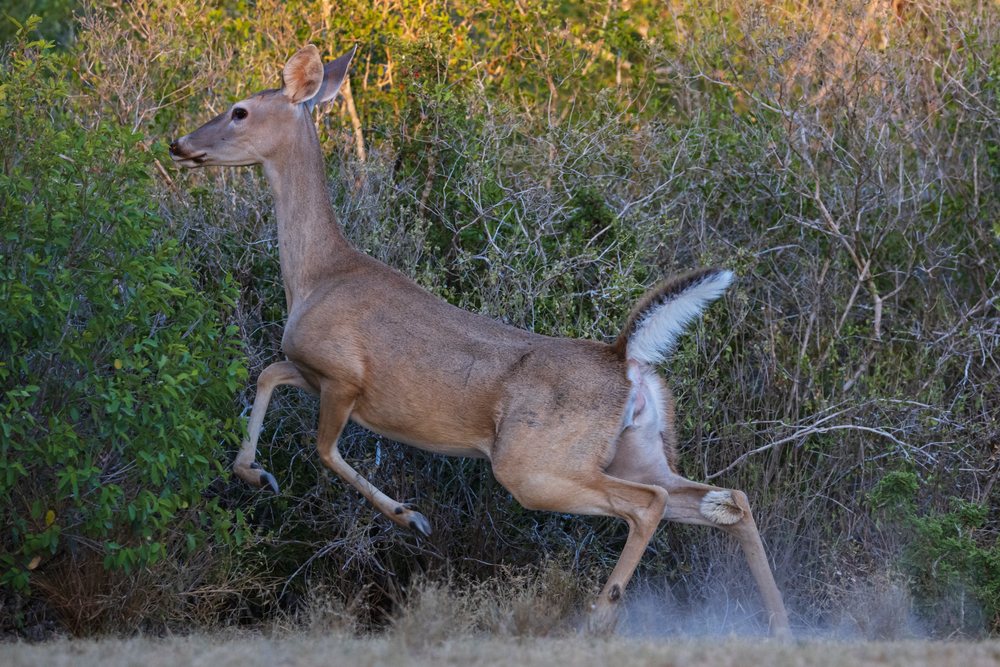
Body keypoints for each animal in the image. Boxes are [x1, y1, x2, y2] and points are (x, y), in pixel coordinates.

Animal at [169, 44, 791, 637]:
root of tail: (624, 358)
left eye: (239, 111)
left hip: (533, 466)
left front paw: (410, 517)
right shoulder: (312, 371)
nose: (178, 143)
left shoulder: (343, 376)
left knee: (650, 505)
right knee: (728, 501)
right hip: (636, 452)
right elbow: (268, 374)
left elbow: (322, 448)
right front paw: (257, 473)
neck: (318, 274)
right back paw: (778, 620)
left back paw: (600, 616)